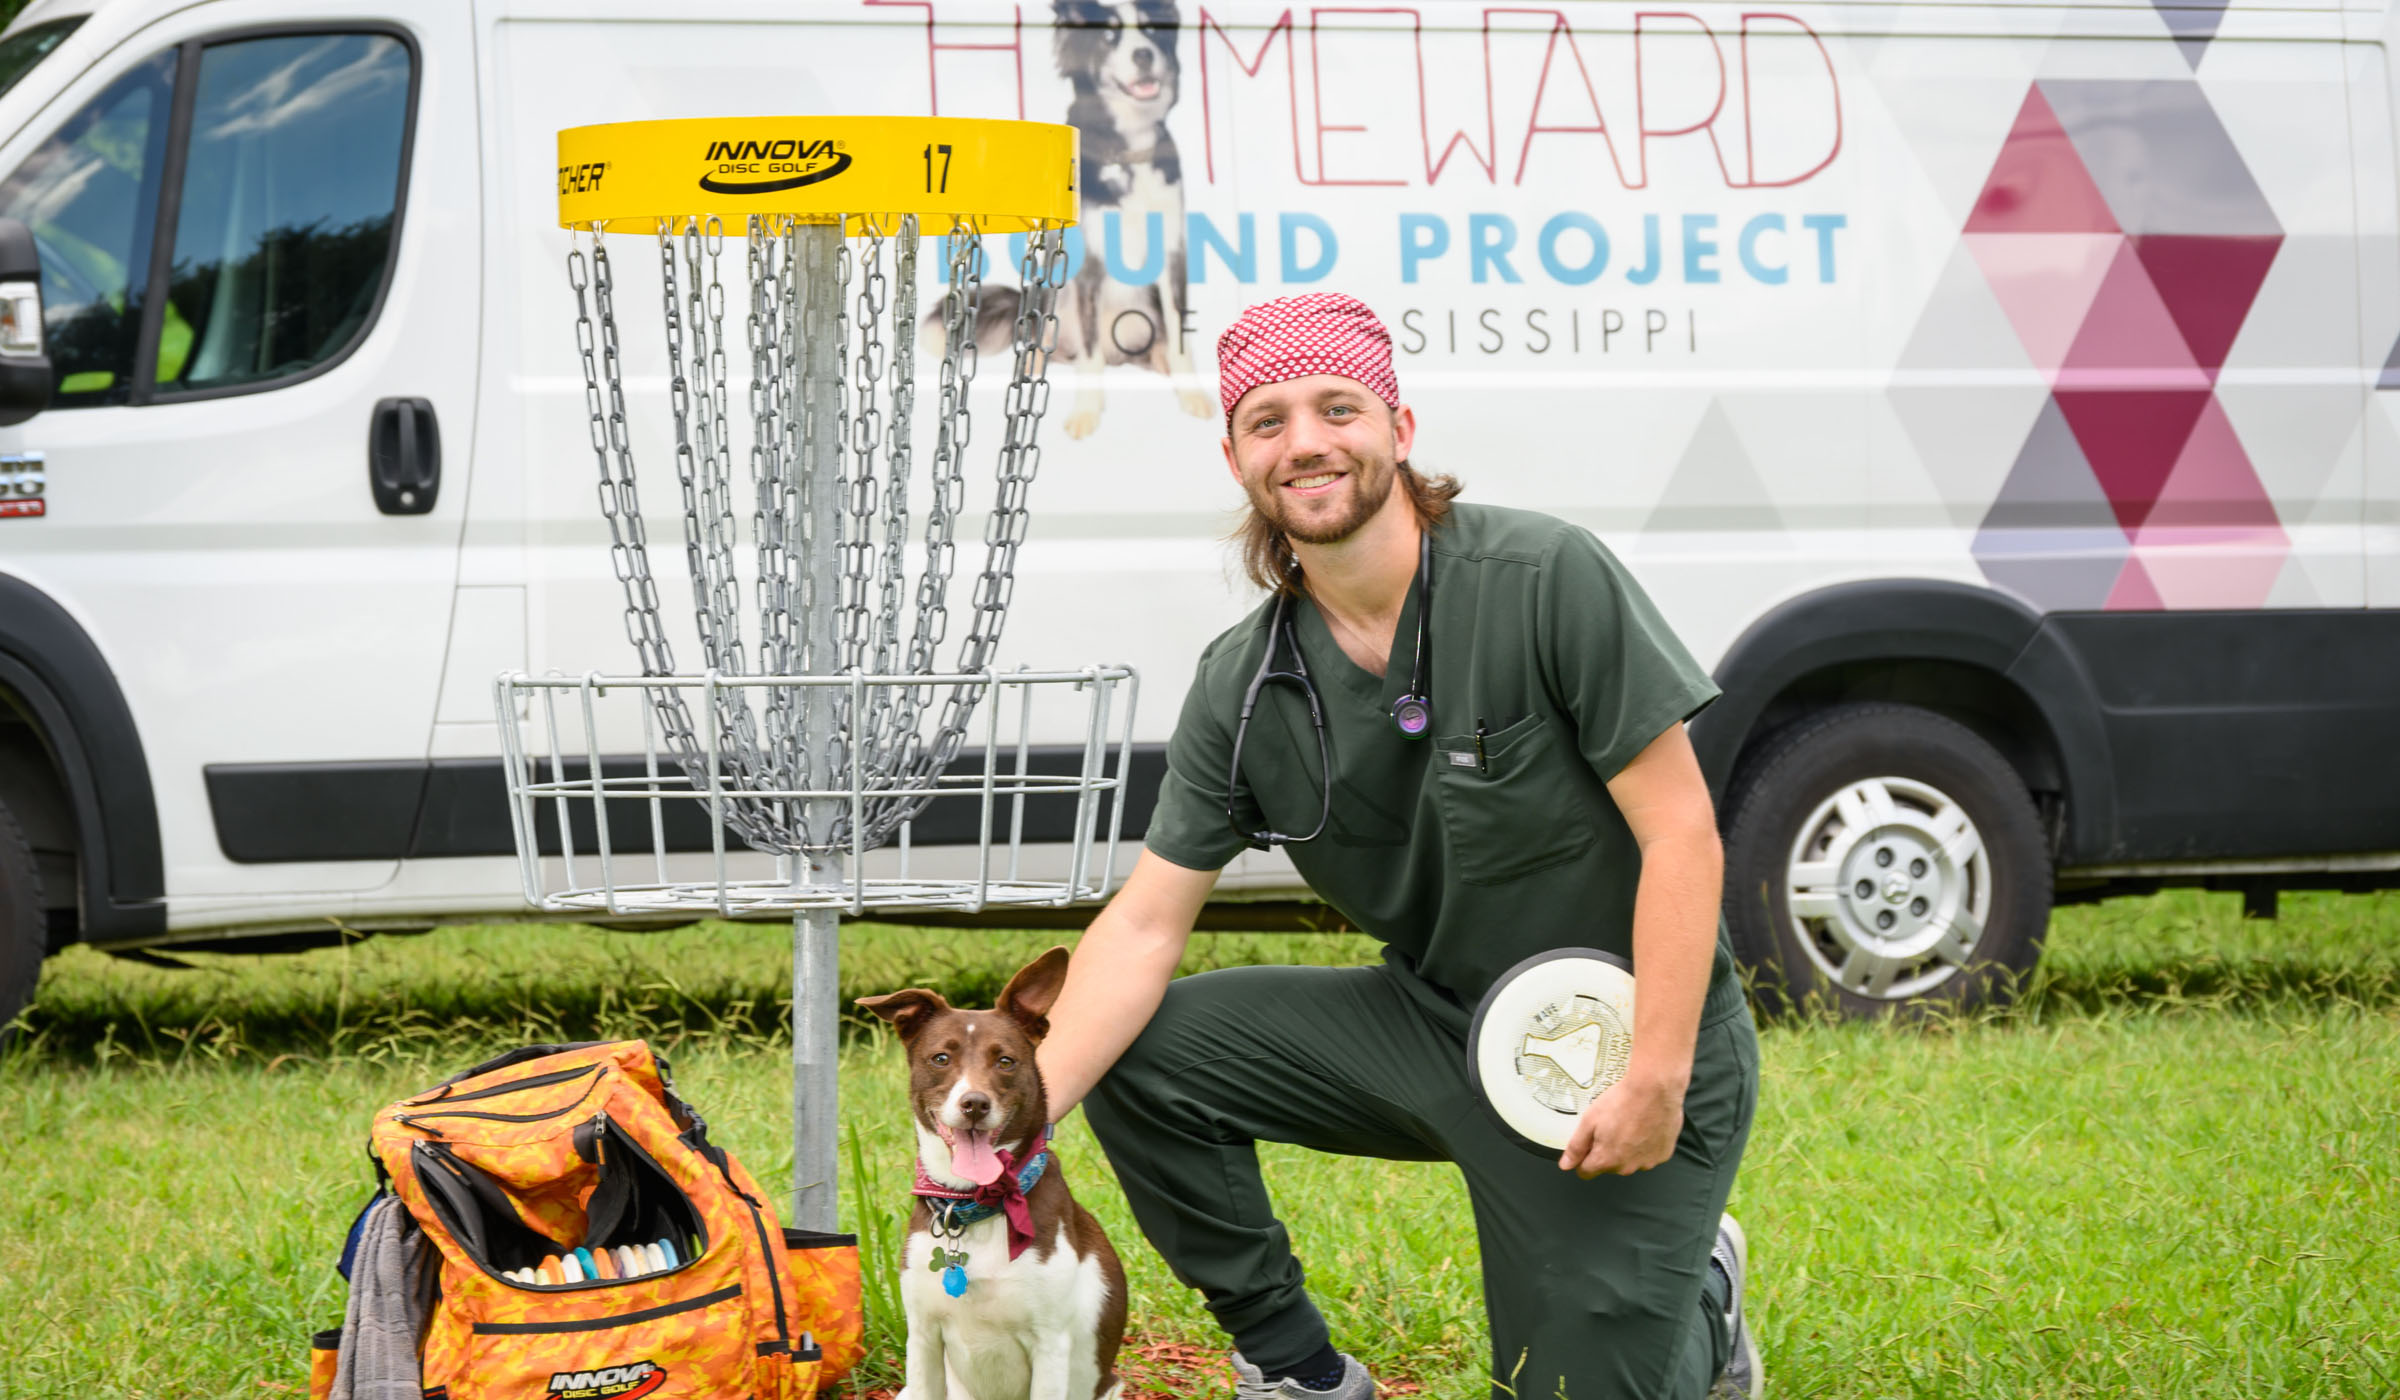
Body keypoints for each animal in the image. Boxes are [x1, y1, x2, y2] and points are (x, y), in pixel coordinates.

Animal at [859, 946, 1128, 1392]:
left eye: (1005, 1061)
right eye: (941, 1058)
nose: (975, 1103)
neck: (972, 1203)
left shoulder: (1050, 1346)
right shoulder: (923, 1338)